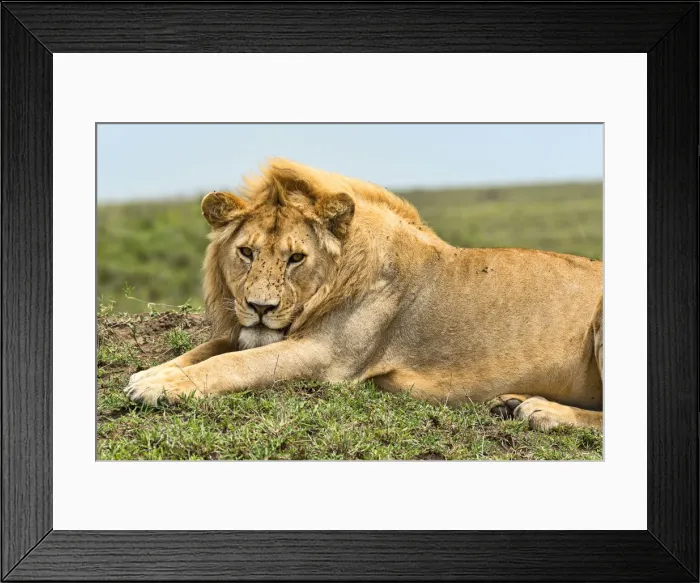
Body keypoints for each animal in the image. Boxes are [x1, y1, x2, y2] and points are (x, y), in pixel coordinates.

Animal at [125, 158, 603, 432]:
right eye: (246, 252)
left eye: (296, 258)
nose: (261, 308)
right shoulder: (249, 331)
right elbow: (203, 351)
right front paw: (151, 374)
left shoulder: (326, 355)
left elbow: (234, 364)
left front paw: (160, 386)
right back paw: (511, 403)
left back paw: (544, 412)